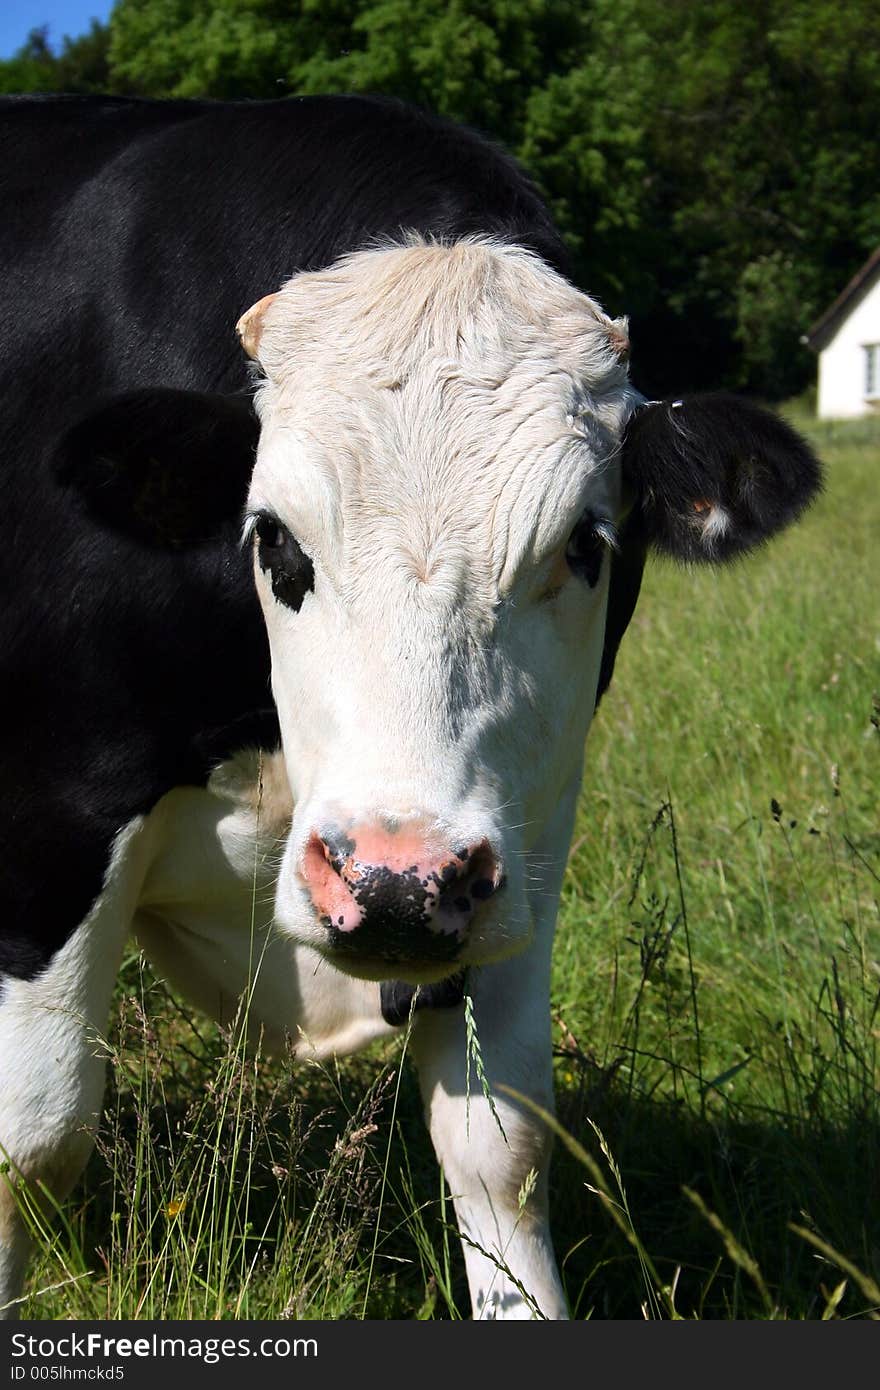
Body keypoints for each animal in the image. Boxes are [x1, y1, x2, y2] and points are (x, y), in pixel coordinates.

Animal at [0, 92, 817, 1317]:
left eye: (587, 543)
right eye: (272, 539)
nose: (390, 880)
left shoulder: (521, 837)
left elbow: (500, 1143)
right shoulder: (52, 821)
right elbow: (36, 1136)